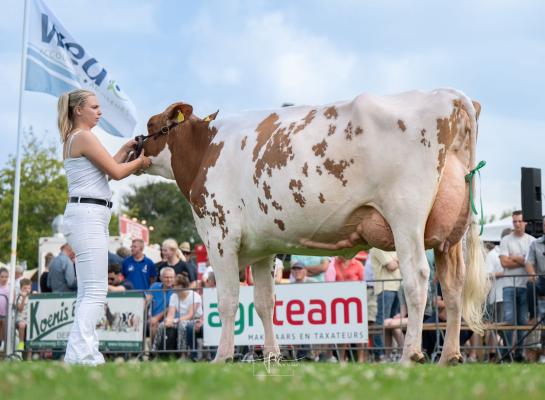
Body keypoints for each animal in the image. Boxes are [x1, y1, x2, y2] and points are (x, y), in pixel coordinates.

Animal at [142, 88, 486, 366]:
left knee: (416, 279)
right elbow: (265, 304)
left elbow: (227, 300)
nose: (135, 146)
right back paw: (448, 357)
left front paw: (222, 357)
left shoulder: (220, 236)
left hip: (406, 217)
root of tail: (446, 94)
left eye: (150, 125)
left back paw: (410, 355)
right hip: (448, 237)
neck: (207, 149)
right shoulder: (262, 248)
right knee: (452, 286)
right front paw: (271, 356)